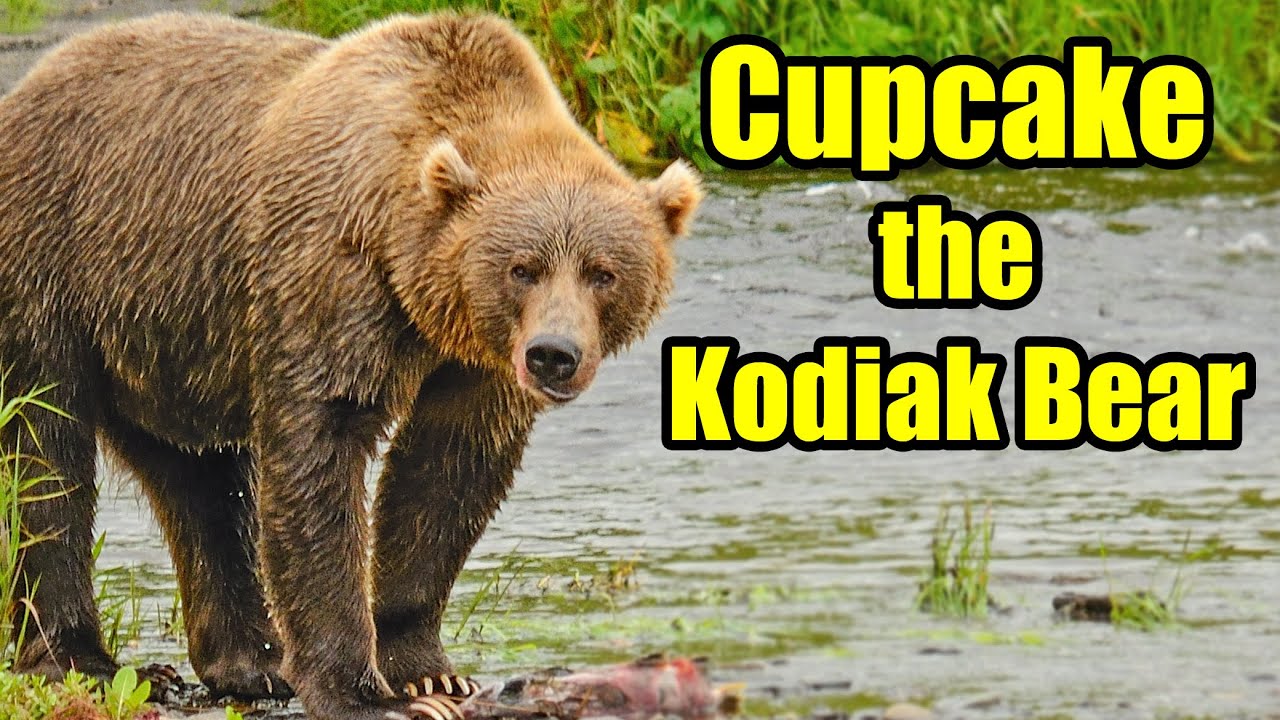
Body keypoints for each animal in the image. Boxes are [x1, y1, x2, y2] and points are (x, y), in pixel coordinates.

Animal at [0, 11, 700, 720]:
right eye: (521, 268)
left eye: (602, 272)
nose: (553, 354)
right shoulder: (331, 277)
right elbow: (322, 452)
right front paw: (364, 692)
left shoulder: (472, 363)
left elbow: (445, 476)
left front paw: (428, 674)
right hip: (55, 266)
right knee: (46, 456)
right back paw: (76, 660)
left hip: (168, 338)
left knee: (200, 481)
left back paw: (250, 661)